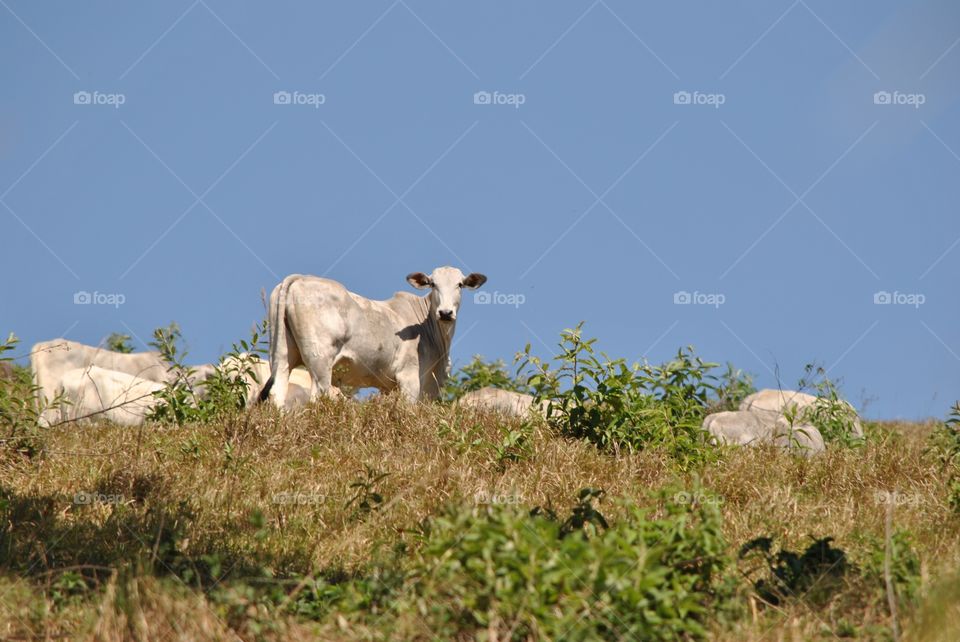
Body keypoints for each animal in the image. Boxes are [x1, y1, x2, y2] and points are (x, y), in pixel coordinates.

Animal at [259, 267, 486, 408]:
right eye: (432, 284)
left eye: (460, 284)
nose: (445, 313)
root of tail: (300, 277)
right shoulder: (409, 377)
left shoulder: (389, 385)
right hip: (319, 359)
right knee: (317, 395)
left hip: (281, 354)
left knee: (278, 393)